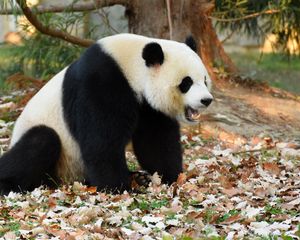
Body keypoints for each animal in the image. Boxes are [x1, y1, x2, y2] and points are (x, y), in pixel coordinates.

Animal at [0, 34, 213, 195]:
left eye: (204, 80)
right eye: (186, 82)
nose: (206, 100)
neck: (131, 65)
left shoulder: (148, 106)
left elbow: (156, 140)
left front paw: (171, 177)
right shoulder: (102, 82)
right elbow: (101, 141)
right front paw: (119, 188)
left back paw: (138, 177)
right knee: (41, 141)